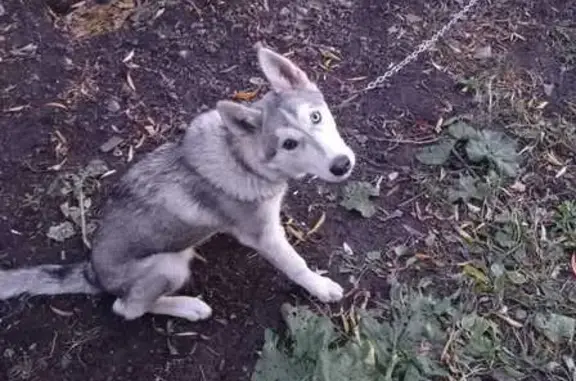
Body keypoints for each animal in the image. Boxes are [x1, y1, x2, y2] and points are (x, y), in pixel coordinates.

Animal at [0, 45, 356, 324]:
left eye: (315, 116)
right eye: (289, 144)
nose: (342, 165)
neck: (241, 158)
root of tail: (93, 272)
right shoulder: (264, 236)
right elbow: (295, 264)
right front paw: (320, 287)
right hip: (170, 265)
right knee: (126, 308)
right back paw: (188, 307)